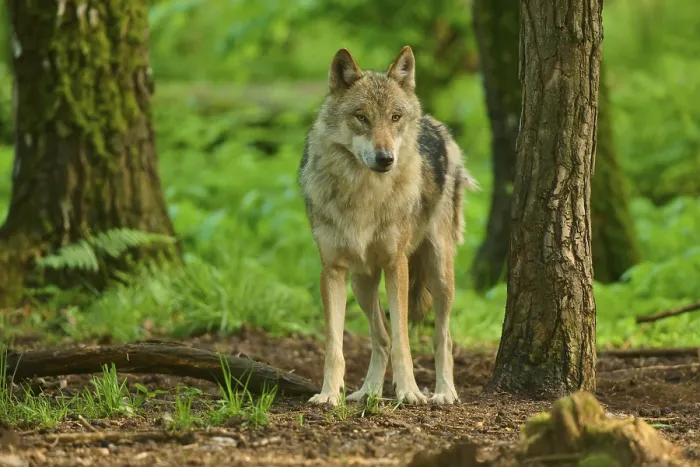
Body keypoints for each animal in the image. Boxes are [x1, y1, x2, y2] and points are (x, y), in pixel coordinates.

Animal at [297, 46, 476, 406]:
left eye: (395, 117)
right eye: (361, 117)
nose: (385, 158)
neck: (365, 197)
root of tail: (435, 123)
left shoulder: (397, 265)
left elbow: (404, 342)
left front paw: (409, 392)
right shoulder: (332, 271)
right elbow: (335, 346)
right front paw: (328, 395)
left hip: (440, 274)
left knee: (443, 338)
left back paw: (444, 392)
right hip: (362, 282)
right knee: (379, 336)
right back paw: (369, 391)